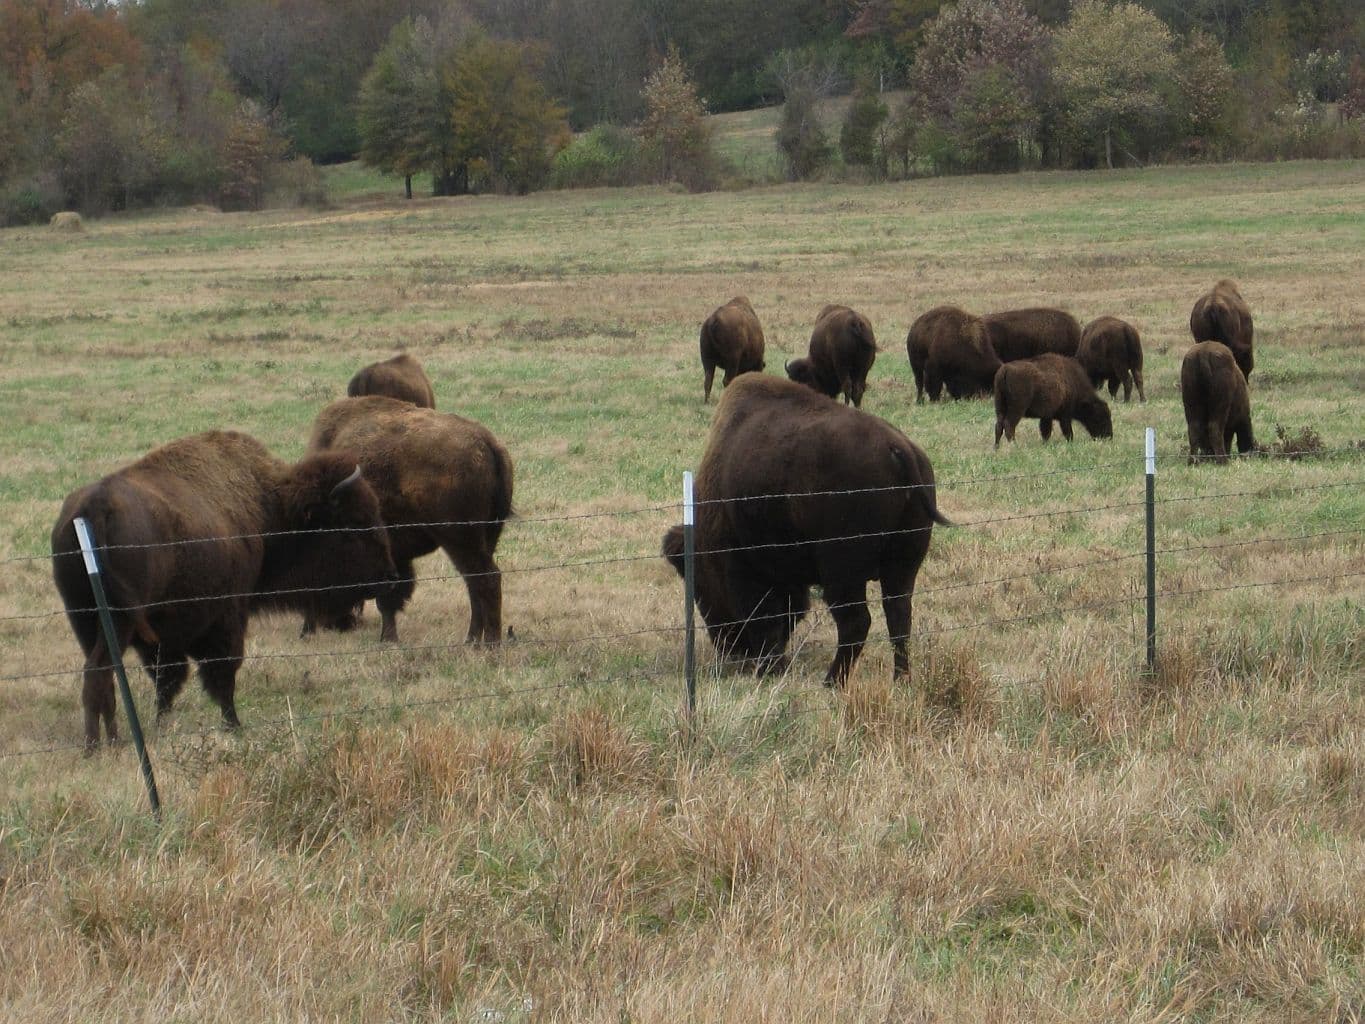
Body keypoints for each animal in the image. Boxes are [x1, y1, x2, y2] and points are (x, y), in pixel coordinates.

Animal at [51, 431, 398, 751]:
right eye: (352, 526)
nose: (390, 577)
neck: (267, 506)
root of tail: (94, 509)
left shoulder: (165, 640)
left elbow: (168, 681)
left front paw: (163, 725)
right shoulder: (227, 617)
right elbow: (222, 673)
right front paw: (233, 724)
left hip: (85, 620)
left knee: (103, 675)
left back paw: (110, 739)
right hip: (118, 621)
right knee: (98, 672)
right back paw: (96, 746)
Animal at [306, 396, 513, 644]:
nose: (337, 624)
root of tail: (487, 442)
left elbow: (387, 598)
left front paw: (387, 639)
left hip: (460, 539)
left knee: (487, 579)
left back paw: (489, 644)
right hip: (486, 537)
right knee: (474, 584)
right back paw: (472, 640)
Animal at [662, 375, 948, 686]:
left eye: (700, 586)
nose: (730, 649)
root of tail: (898, 448)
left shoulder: (747, 570)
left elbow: (765, 618)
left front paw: (771, 669)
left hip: (842, 572)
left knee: (856, 621)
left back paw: (832, 681)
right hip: (902, 566)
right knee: (898, 616)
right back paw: (899, 679)